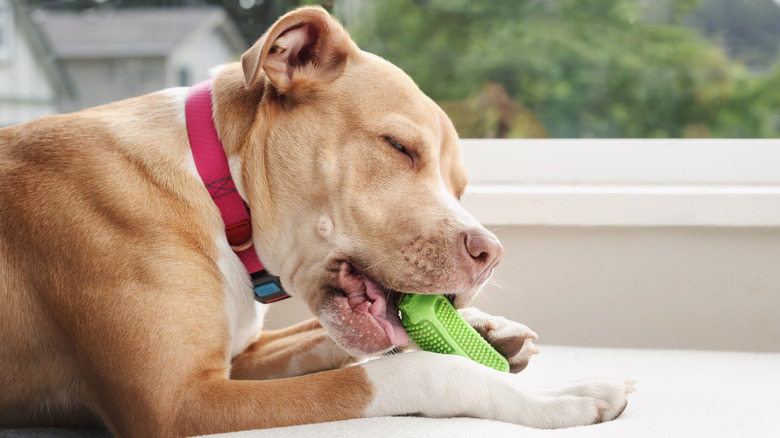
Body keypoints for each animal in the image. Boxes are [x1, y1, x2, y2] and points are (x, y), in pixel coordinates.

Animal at [0, 6, 632, 438]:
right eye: (398, 147)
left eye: (460, 187)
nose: (491, 254)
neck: (217, 189)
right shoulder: (177, 403)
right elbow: (413, 371)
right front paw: (562, 395)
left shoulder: (240, 361)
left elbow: (323, 338)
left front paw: (488, 330)